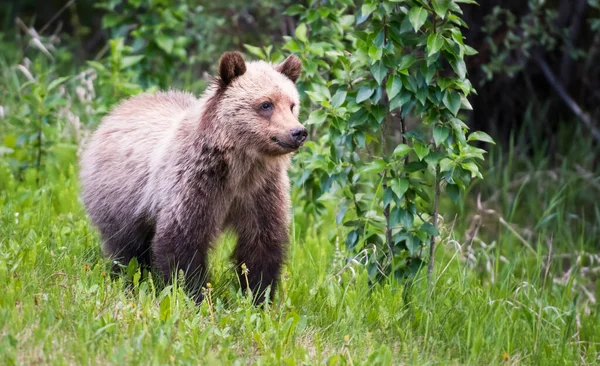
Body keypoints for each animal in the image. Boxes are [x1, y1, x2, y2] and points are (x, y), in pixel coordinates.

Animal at [78, 51, 308, 304]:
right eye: (266, 104)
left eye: (292, 105)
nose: (298, 132)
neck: (239, 166)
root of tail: (117, 110)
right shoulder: (195, 184)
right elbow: (183, 242)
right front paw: (193, 294)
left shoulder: (261, 191)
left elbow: (261, 244)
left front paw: (257, 295)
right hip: (120, 195)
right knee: (127, 245)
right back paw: (128, 278)